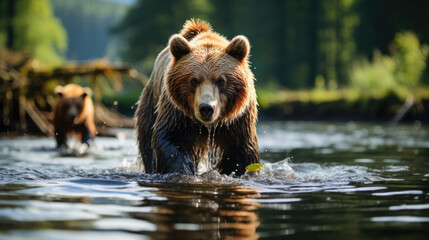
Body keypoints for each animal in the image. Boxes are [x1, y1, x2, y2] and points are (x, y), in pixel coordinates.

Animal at [135, 19, 260, 176]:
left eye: (221, 80)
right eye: (194, 80)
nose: (206, 108)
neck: (207, 127)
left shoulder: (238, 120)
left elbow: (241, 154)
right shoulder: (176, 112)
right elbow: (171, 141)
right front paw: (183, 171)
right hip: (151, 103)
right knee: (147, 141)